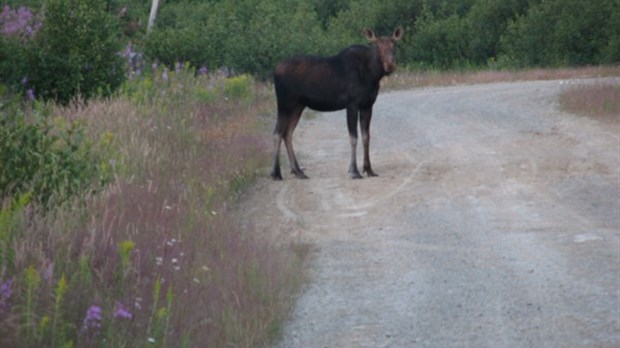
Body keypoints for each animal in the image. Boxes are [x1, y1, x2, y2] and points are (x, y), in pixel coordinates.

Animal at [270, 26, 402, 179]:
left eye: (394, 46)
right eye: (378, 47)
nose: (390, 65)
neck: (372, 75)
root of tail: (274, 71)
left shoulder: (368, 105)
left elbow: (366, 137)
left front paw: (368, 169)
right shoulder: (352, 104)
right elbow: (353, 137)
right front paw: (354, 171)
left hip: (298, 105)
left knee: (288, 133)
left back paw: (298, 171)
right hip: (285, 102)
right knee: (277, 133)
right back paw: (276, 173)